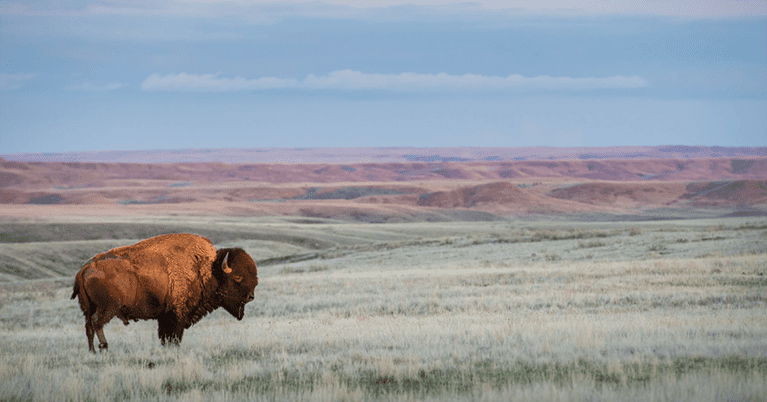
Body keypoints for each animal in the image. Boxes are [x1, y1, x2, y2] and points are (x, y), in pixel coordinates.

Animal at [71, 233, 258, 352]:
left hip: (88, 309)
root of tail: (86, 268)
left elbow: (164, 337)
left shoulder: (165, 317)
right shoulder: (177, 315)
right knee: (97, 323)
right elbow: (174, 337)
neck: (208, 270)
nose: (251, 296)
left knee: (88, 327)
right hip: (107, 308)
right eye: (238, 277)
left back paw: (92, 351)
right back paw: (104, 347)